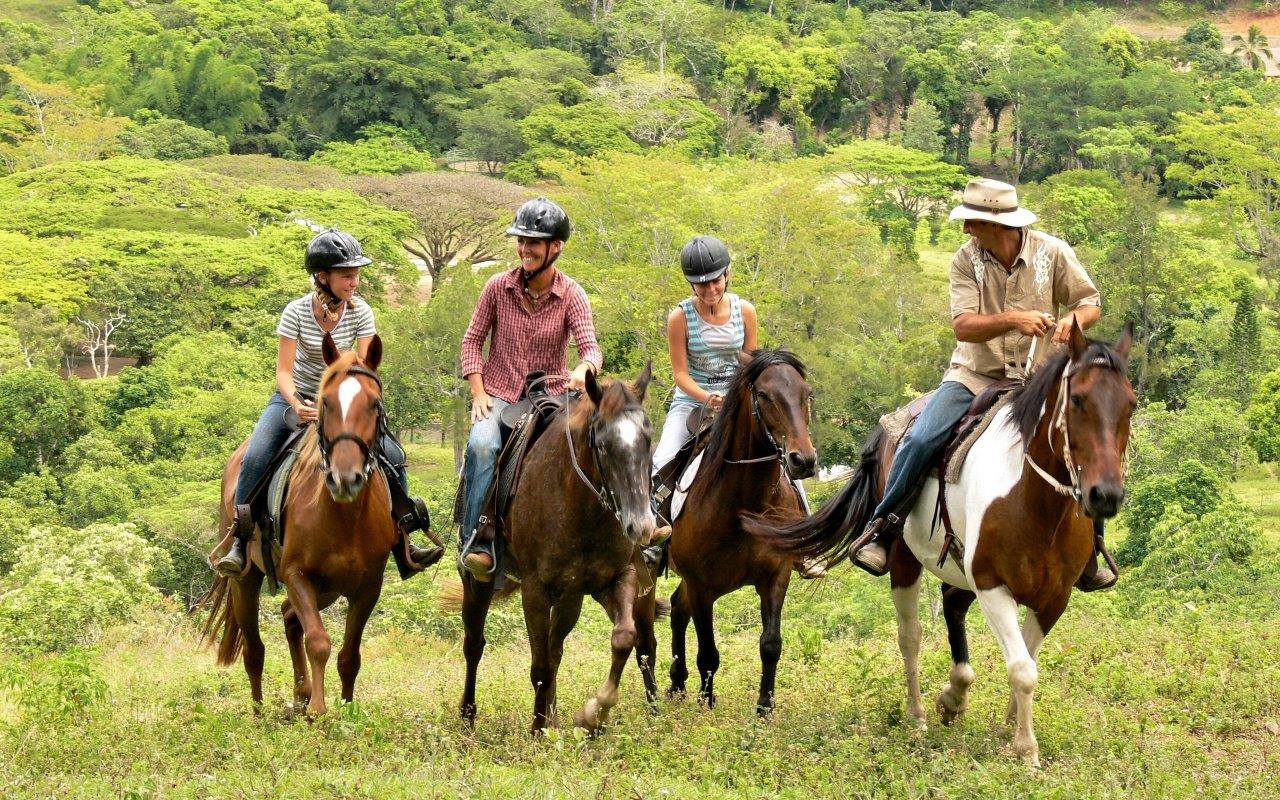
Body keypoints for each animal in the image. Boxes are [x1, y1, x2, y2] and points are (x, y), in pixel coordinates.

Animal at [199, 332, 394, 716]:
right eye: (325, 403)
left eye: (375, 405)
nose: (344, 479)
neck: (344, 516)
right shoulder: (297, 575)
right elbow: (318, 641)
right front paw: (318, 709)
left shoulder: (368, 586)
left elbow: (349, 656)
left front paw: (345, 708)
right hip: (247, 579)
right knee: (254, 649)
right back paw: (261, 711)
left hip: (329, 587)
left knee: (290, 617)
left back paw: (300, 694)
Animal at [665, 348, 814, 711]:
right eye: (764, 395)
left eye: (806, 393)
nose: (803, 460)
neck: (745, 503)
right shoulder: (702, 586)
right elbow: (708, 653)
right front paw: (707, 704)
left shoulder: (777, 575)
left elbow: (771, 644)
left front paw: (765, 707)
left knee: (677, 607)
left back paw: (677, 683)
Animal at [752, 318, 1136, 762]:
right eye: (1077, 400)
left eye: (1131, 404)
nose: (1105, 495)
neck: (1036, 502)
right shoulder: (991, 584)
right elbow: (1022, 669)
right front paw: (1026, 750)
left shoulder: (1054, 597)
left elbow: (1027, 658)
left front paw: (1008, 732)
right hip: (907, 560)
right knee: (911, 636)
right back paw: (918, 717)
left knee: (951, 605)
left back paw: (954, 697)